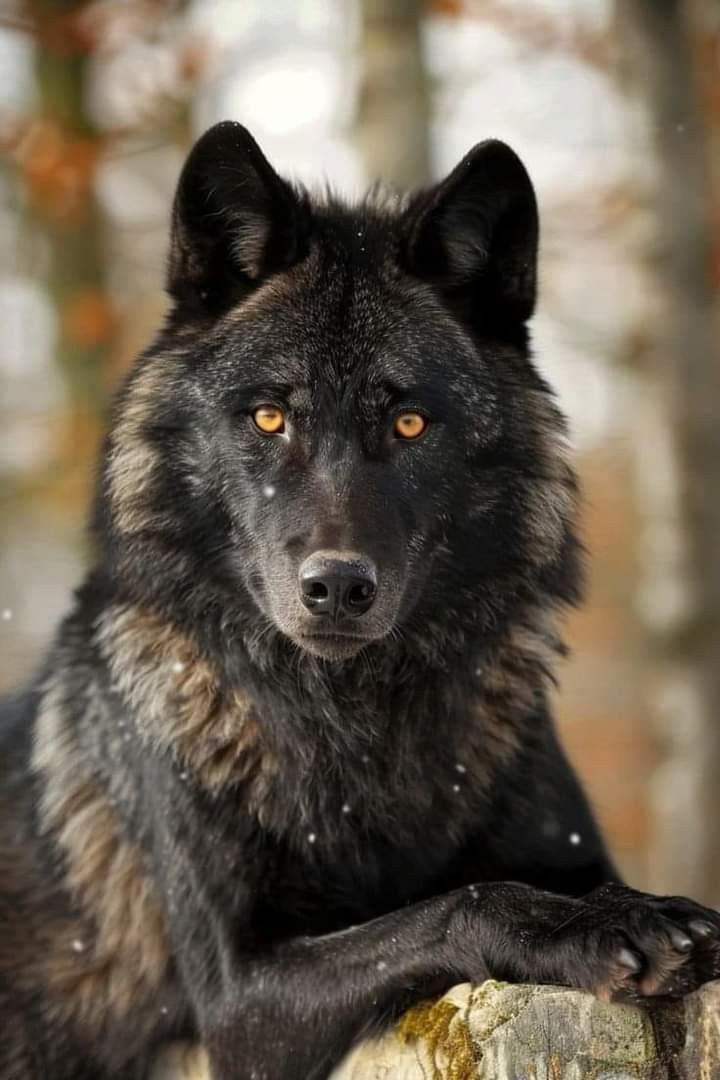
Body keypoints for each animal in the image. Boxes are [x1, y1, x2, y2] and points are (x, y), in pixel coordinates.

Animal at [1, 120, 720, 1080]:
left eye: (409, 422)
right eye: (270, 418)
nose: (337, 586)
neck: (355, 727)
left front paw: (625, 904)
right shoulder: (236, 999)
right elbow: (462, 901)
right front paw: (598, 926)